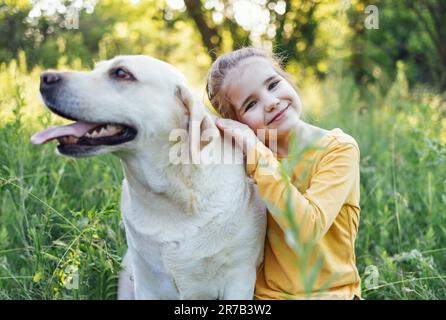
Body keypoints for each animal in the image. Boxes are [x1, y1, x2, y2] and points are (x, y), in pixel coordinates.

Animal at [32, 55, 268, 300]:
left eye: (121, 73)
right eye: (95, 68)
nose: (45, 78)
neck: (172, 195)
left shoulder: (239, 277)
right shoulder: (146, 280)